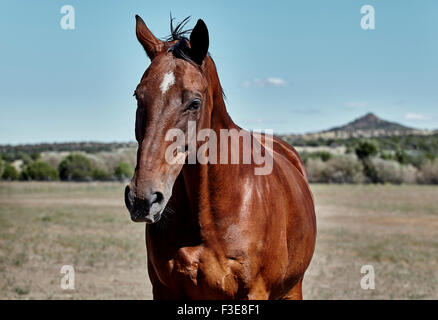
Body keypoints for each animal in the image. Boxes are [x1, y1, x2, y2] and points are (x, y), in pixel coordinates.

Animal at [125, 15, 316, 300]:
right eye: (139, 96)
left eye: (194, 103)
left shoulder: (256, 292)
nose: (142, 199)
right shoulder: (164, 290)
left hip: (293, 288)